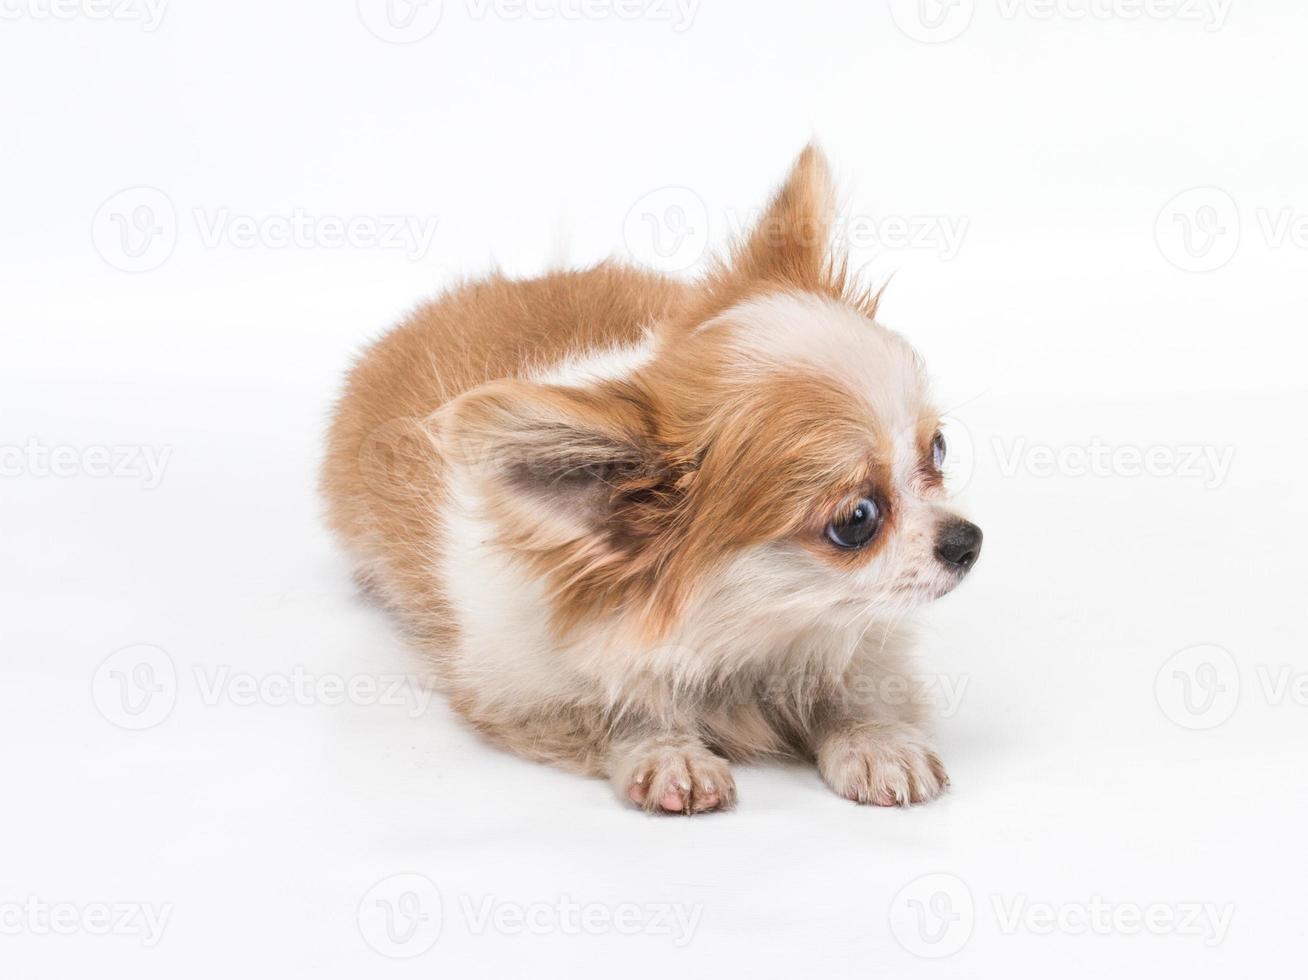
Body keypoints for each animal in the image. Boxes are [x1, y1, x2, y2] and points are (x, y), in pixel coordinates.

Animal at [324, 145, 983, 816]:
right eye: (856, 521)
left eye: (939, 448)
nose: (968, 540)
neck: (754, 634)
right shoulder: (523, 690)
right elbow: (624, 713)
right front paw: (669, 753)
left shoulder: (858, 636)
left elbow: (857, 685)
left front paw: (875, 740)